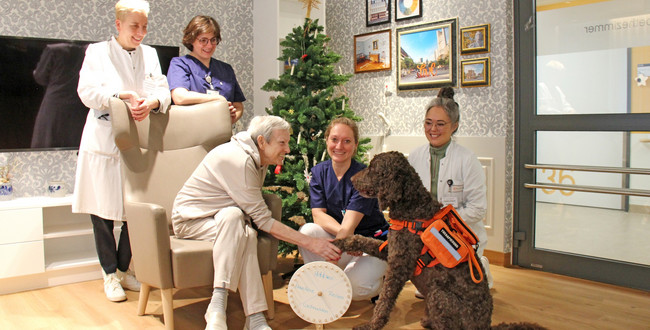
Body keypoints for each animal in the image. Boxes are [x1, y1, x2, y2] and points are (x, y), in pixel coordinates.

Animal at [332, 152, 544, 330]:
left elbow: (385, 299)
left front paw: (372, 325)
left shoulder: (399, 266)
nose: (351, 179)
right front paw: (338, 243)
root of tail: (485, 326)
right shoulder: (391, 249)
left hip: (439, 295)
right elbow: (360, 239)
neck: (412, 206)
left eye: (373, 168)